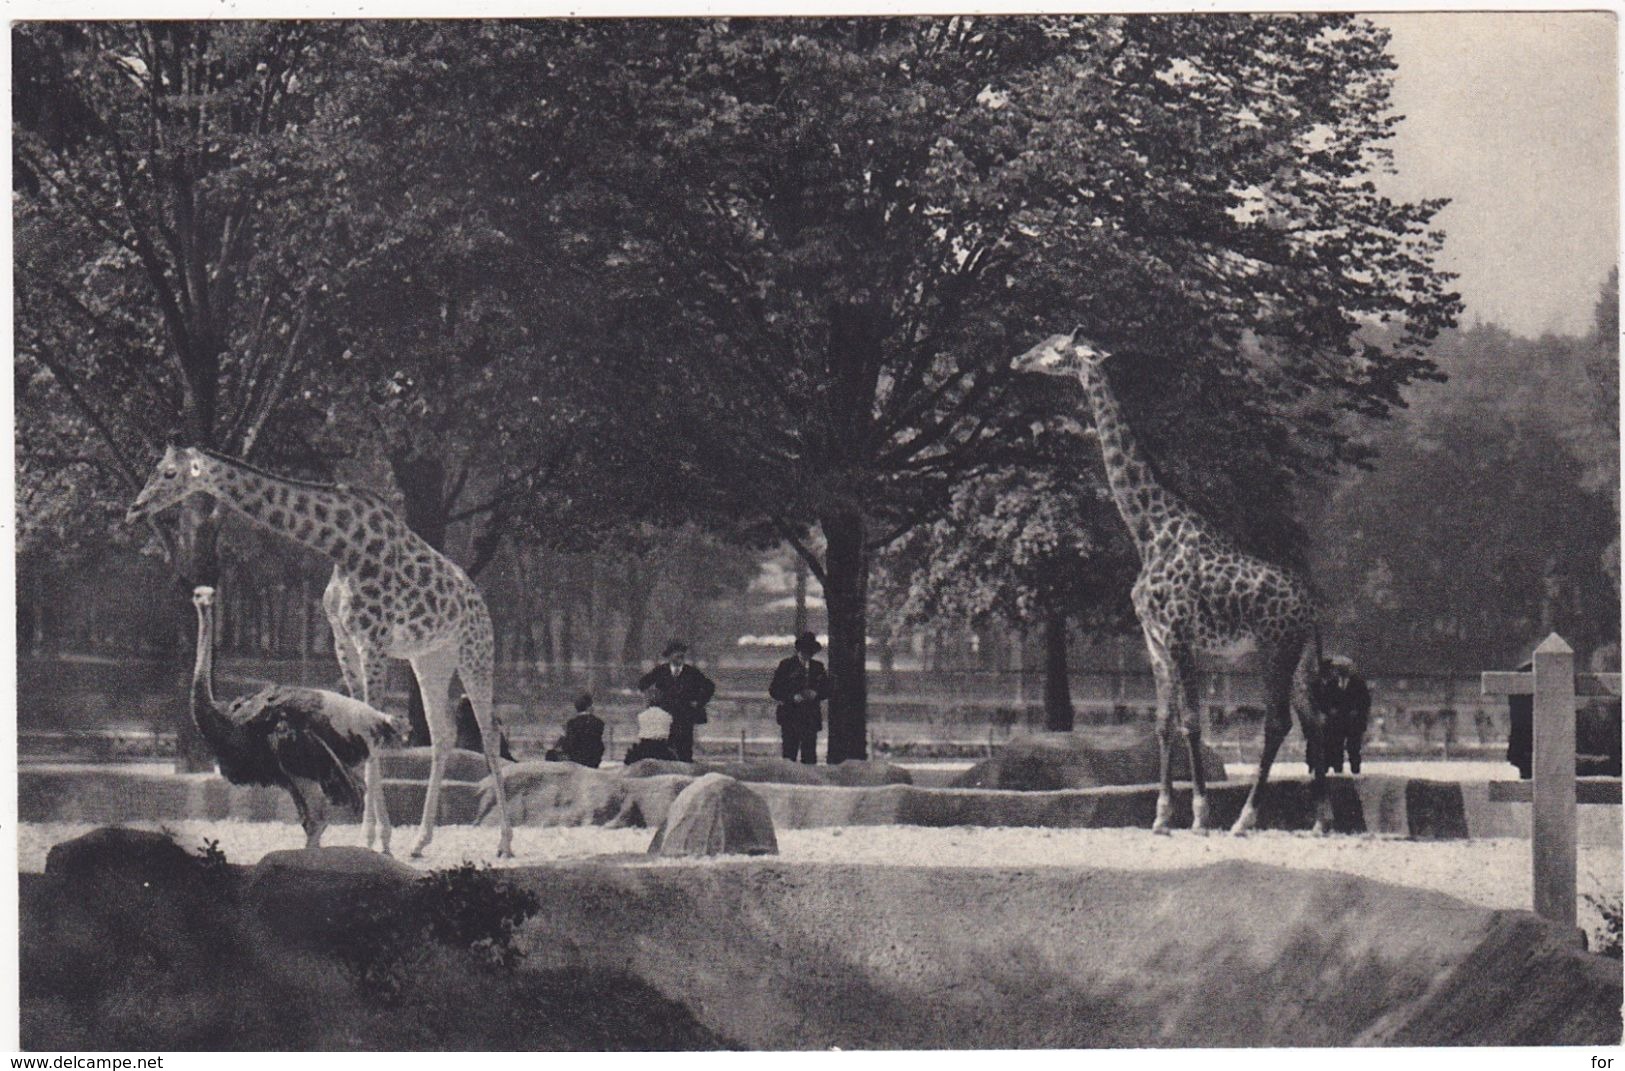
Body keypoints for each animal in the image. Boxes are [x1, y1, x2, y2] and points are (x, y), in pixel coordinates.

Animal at [126, 445, 513, 851]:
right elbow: (364, 720)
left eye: (169, 473)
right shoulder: (343, 640)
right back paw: (421, 841)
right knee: (443, 735)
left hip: (474, 653)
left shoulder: (372, 641)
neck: (343, 546)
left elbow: (373, 726)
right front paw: (376, 835)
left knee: (487, 733)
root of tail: (478, 599)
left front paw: (374, 837)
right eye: (156, 468)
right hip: (430, 659)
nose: (135, 508)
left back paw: (504, 842)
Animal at [1001, 334, 1332, 838]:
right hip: (1297, 657)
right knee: (1313, 720)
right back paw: (1319, 820)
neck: (1148, 529)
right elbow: (1162, 722)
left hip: (1274, 649)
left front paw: (1199, 815)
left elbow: (1193, 722)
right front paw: (1160, 817)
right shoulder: (1153, 640)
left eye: (1056, 348)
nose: (1018, 359)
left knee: (1277, 722)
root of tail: (1310, 607)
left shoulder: (1180, 635)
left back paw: (1244, 819)